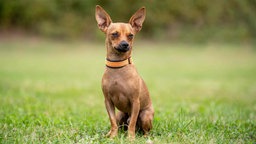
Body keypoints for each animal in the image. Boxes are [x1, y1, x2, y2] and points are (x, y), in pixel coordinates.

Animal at [94, 5, 153, 140]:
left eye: (131, 36)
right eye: (114, 34)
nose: (125, 44)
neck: (118, 67)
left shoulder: (135, 102)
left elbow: (132, 123)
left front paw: (130, 138)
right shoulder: (108, 102)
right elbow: (112, 122)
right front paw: (112, 136)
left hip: (145, 115)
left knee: (143, 129)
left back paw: (144, 137)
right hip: (120, 115)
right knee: (120, 125)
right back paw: (110, 133)